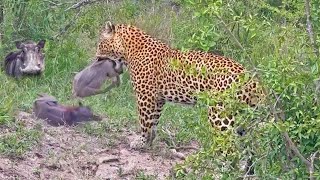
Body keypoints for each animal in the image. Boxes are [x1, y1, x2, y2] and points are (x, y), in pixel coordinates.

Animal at [96, 21, 266, 150]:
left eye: (100, 44)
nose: (95, 57)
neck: (128, 51)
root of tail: (252, 79)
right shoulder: (158, 99)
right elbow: (153, 122)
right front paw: (150, 142)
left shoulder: (145, 97)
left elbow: (144, 122)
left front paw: (140, 142)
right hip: (245, 116)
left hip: (220, 115)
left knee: (229, 148)